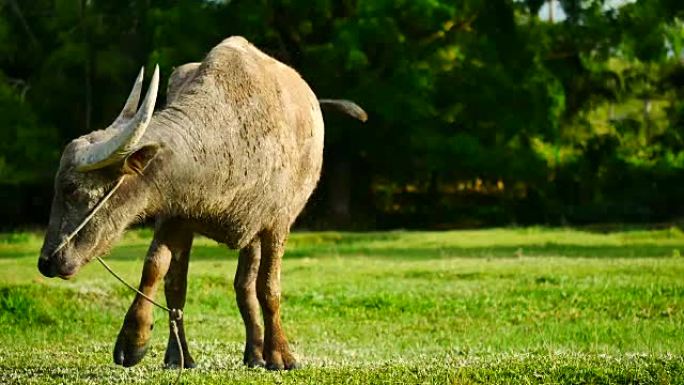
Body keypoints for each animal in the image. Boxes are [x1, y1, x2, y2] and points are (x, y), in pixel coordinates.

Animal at [36, 36, 368, 368]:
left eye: (70, 188)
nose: (46, 261)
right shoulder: (175, 218)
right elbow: (162, 275)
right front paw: (146, 344)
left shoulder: (277, 224)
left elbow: (269, 288)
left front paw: (281, 355)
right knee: (241, 285)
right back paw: (252, 353)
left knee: (249, 284)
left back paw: (260, 353)